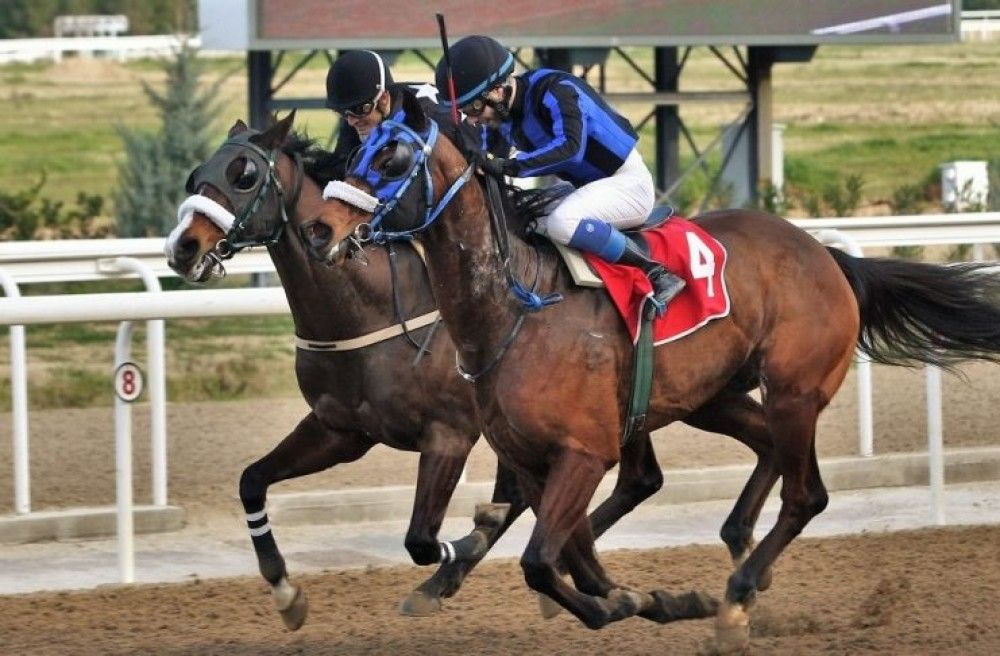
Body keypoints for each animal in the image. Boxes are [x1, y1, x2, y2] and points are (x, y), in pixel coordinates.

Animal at [168, 116, 684, 632]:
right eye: (195, 176)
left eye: (244, 175)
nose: (181, 247)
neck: (368, 306)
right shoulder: (340, 430)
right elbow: (251, 480)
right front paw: (285, 591)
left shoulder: (450, 433)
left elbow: (421, 538)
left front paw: (470, 547)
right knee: (639, 480)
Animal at [298, 95, 1000, 652]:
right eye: (353, 150)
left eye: (391, 158)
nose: (318, 229)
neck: (515, 307)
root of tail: (825, 255)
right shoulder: (535, 458)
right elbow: (570, 554)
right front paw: (645, 598)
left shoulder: (584, 451)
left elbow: (540, 559)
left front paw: (633, 600)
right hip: (713, 397)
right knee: (766, 455)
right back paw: (740, 558)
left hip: (795, 391)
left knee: (808, 496)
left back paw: (738, 596)